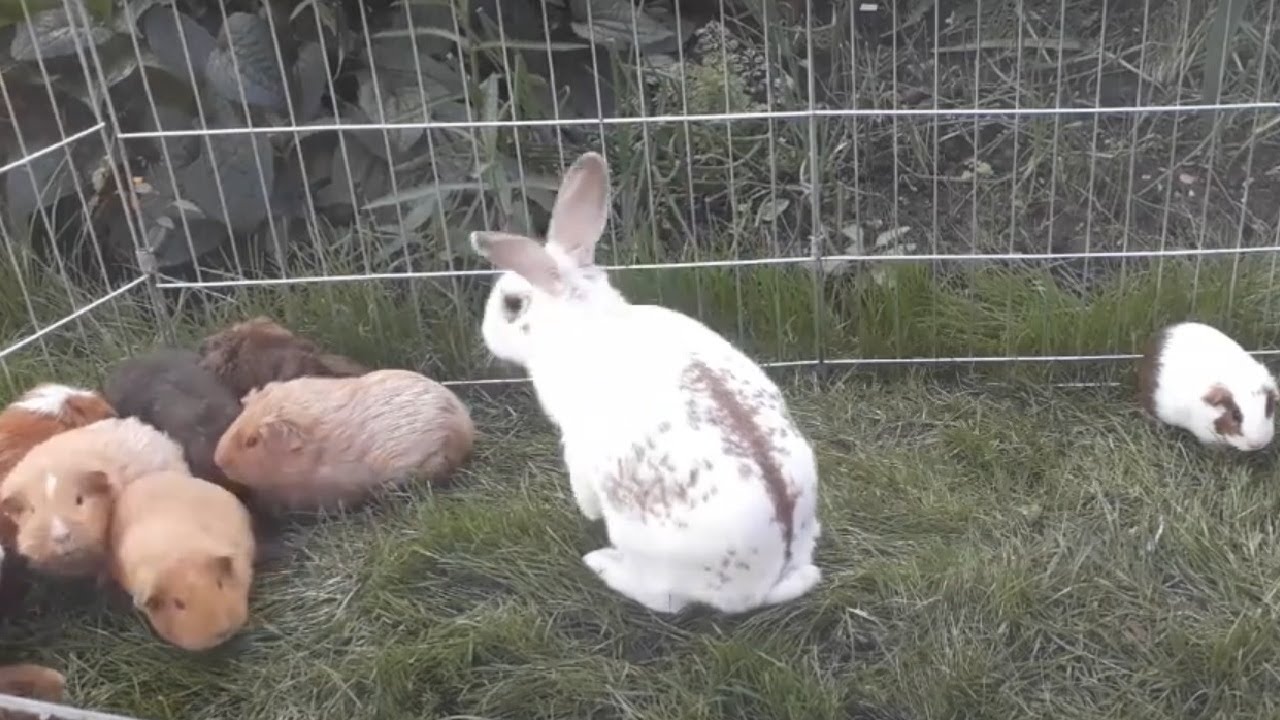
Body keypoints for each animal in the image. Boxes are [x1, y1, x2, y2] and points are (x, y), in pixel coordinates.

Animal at [468, 151, 821, 615]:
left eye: (511, 305)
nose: (485, 334)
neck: (583, 318)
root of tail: (760, 585)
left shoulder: (575, 445)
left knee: (664, 600)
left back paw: (602, 563)